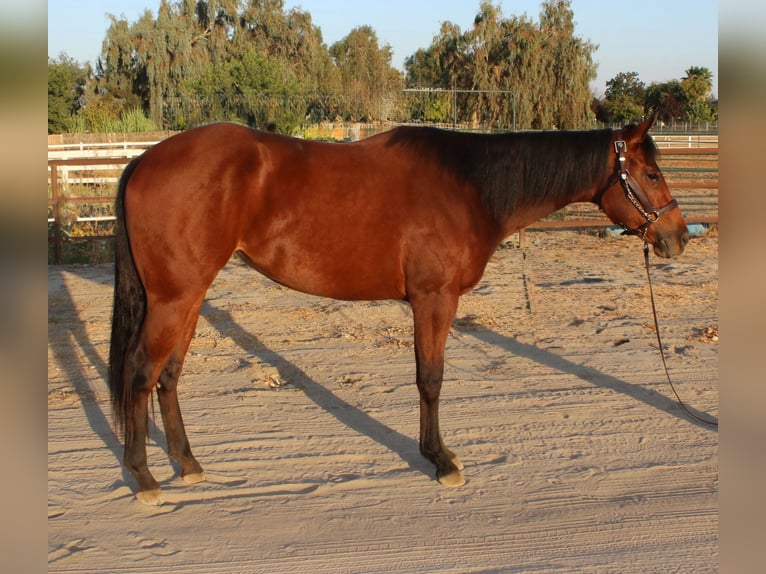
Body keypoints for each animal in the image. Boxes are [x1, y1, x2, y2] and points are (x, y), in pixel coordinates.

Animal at [108, 116, 688, 504]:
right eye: (651, 174)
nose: (678, 238)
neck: (469, 185)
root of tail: (143, 160)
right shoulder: (435, 299)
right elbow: (430, 379)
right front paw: (441, 460)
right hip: (174, 298)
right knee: (139, 373)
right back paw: (144, 477)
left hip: (189, 296)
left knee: (168, 375)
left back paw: (187, 464)